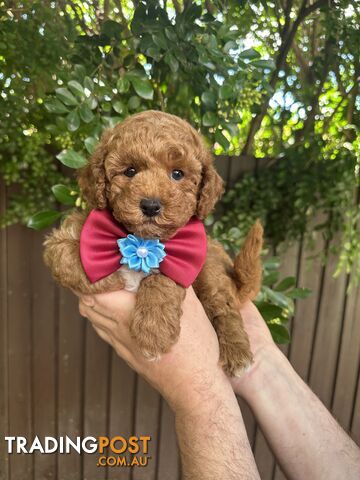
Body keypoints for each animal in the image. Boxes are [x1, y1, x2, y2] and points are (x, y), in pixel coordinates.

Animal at [44, 109, 262, 376]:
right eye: (130, 171)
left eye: (177, 174)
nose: (150, 205)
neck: (141, 238)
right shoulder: (66, 236)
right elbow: (65, 257)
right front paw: (112, 278)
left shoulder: (186, 262)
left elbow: (162, 279)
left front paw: (154, 332)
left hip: (211, 271)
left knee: (225, 309)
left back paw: (237, 353)